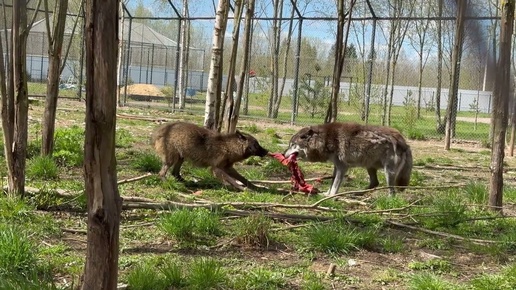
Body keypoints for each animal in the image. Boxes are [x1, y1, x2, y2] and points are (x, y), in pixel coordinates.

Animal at [284, 121, 414, 196]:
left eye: (292, 145)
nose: (283, 153)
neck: (325, 139)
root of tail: (404, 143)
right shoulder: (336, 167)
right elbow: (332, 182)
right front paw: (327, 194)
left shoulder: (342, 167)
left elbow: (335, 184)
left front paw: (331, 196)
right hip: (370, 167)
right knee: (375, 183)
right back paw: (356, 193)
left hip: (388, 173)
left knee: (392, 191)